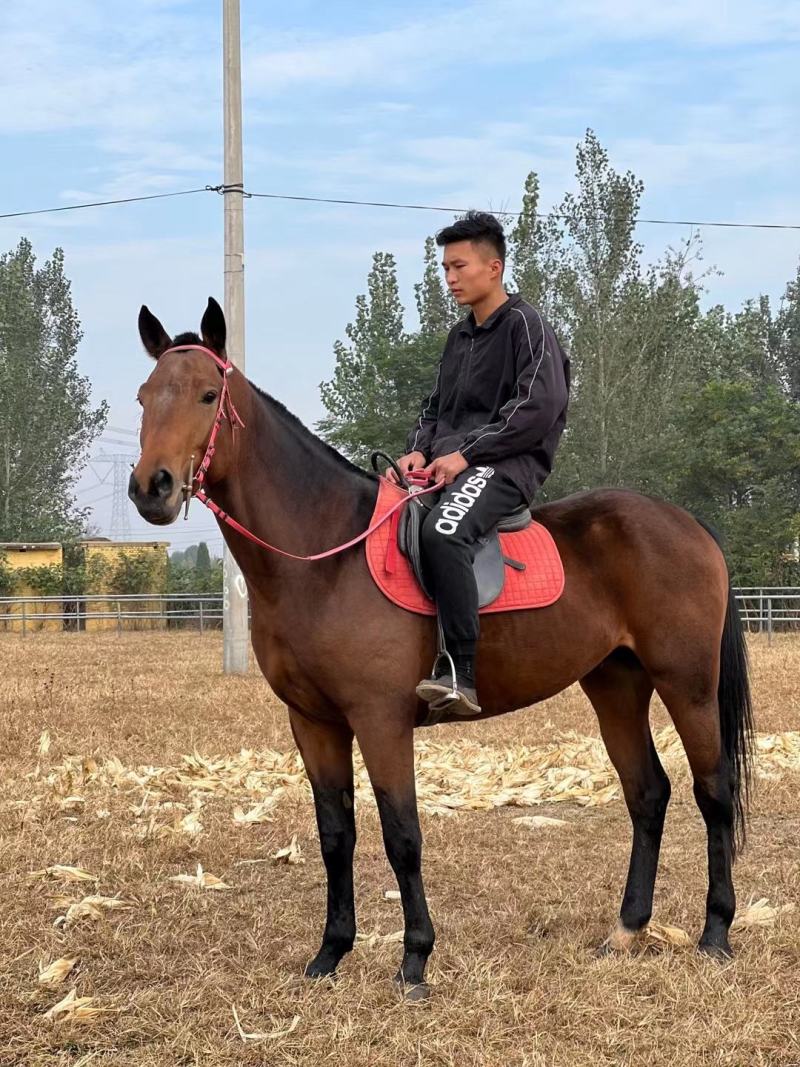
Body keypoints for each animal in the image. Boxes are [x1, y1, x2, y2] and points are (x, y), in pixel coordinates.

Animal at [129, 297, 753, 999]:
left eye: (208, 395)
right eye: (145, 396)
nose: (151, 487)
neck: (326, 555)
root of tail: (687, 523)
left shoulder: (380, 720)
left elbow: (402, 835)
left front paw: (415, 959)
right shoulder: (313, 722)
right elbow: (335, 834)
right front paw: (330, 953)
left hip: (687, 684)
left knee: (714, 791)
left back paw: (715, 932)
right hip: (616, 685)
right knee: (647, 794)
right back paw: (626, 930)